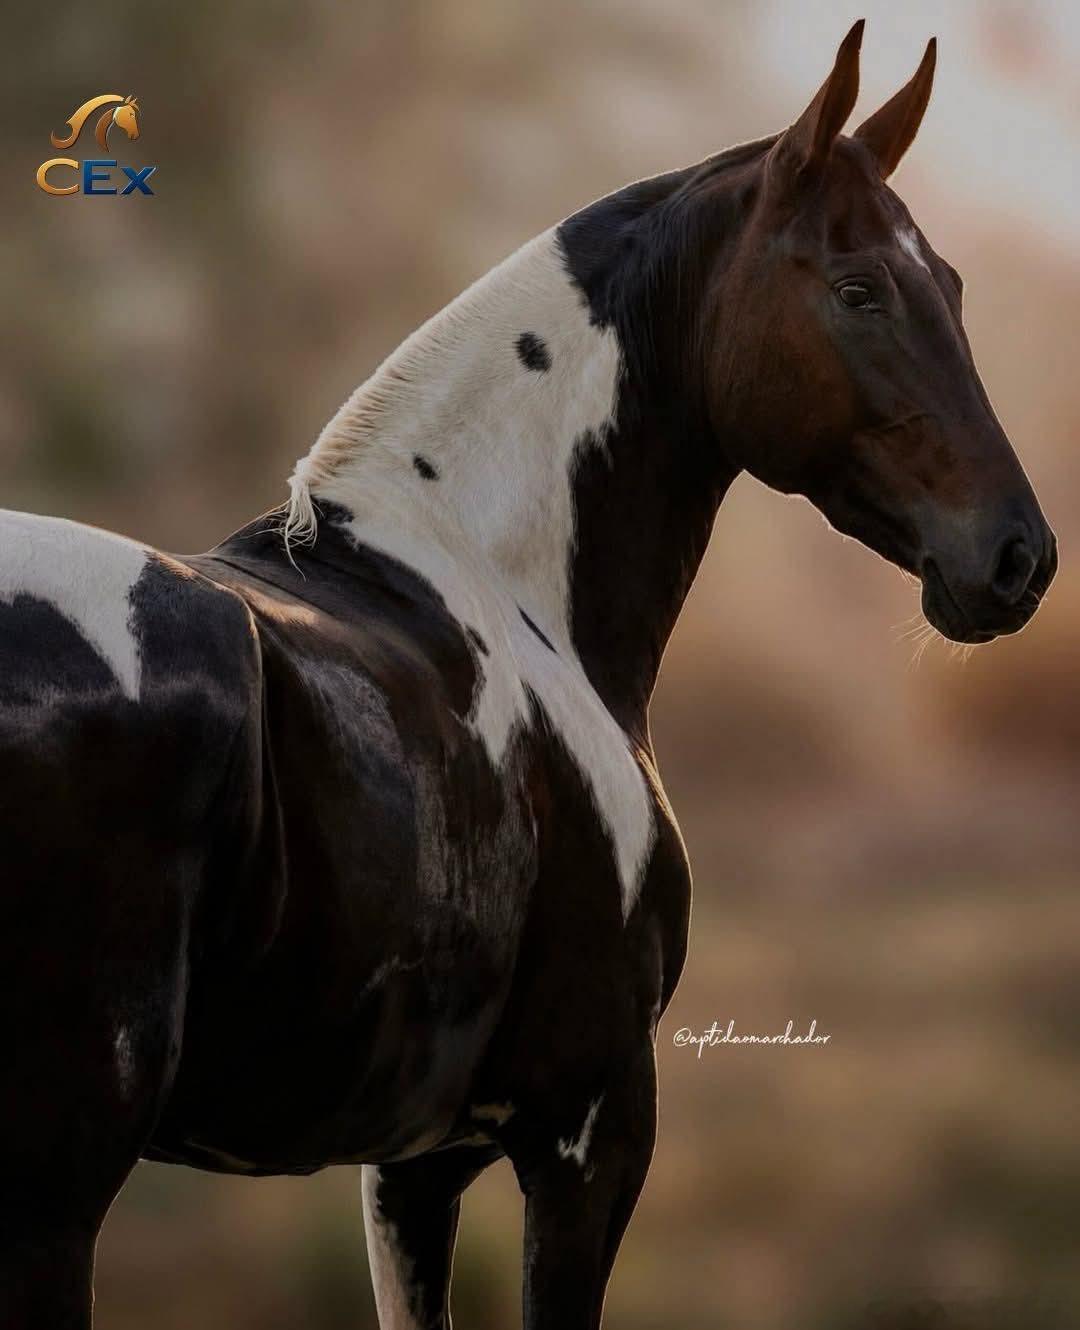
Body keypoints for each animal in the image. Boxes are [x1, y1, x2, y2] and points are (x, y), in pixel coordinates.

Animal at [0, 21, 1057, 1329]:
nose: (1017, 556)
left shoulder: (411, 1165)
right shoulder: (589, 1133)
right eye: (858, 288)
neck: (492, 574)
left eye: (951, 286)